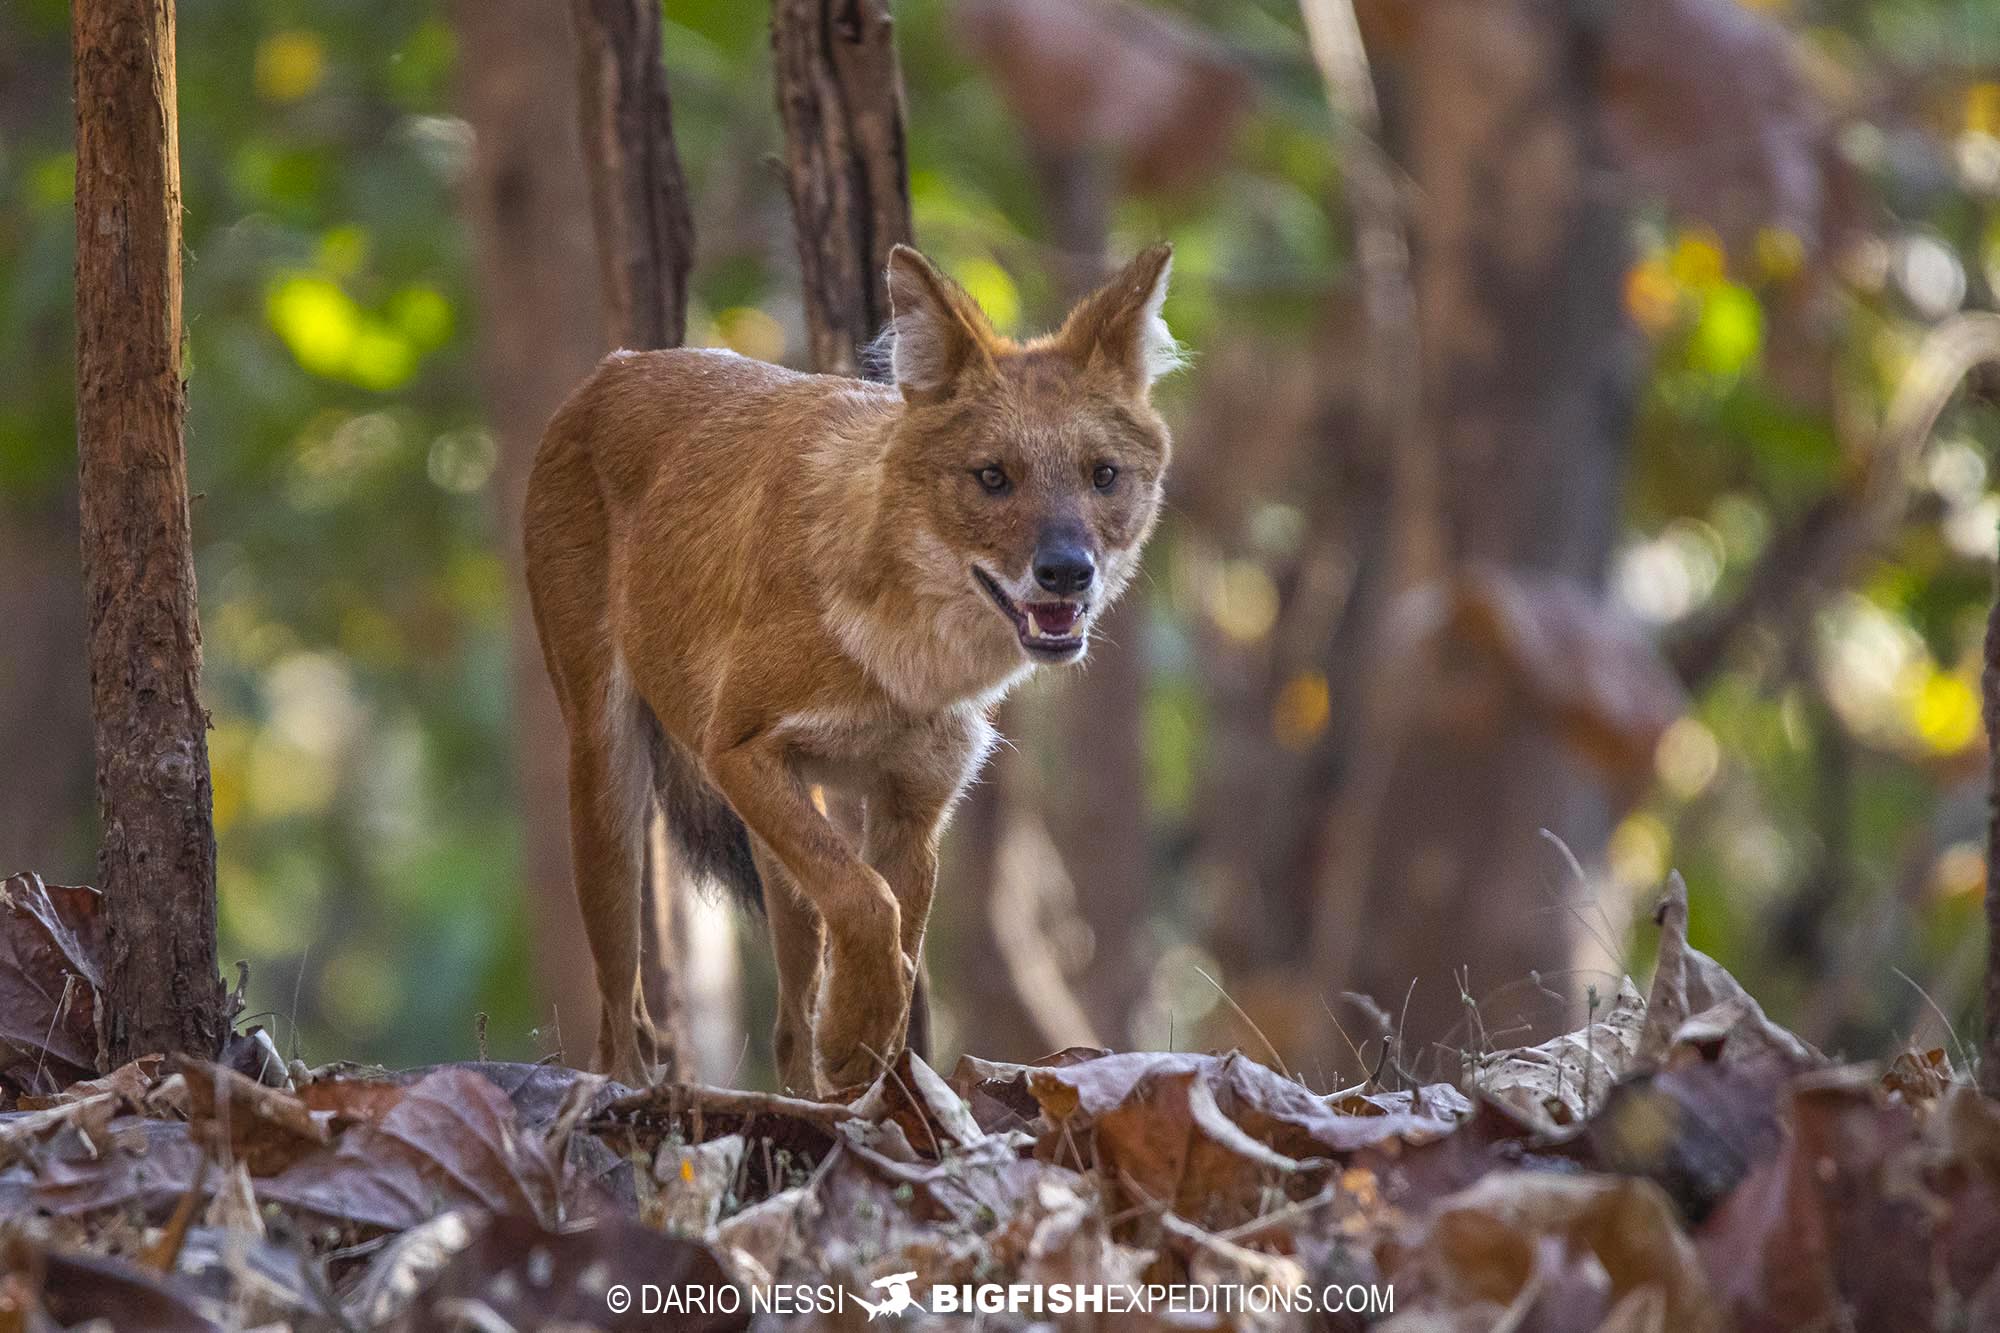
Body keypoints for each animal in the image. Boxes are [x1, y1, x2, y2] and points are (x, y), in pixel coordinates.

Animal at [532, 244, 1176, 1088]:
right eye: (992, 476)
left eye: (1103, 475)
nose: (1067, 572)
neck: (909, 665)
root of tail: (613, 367)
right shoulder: (735, 749)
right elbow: (868, 901)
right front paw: (858, 1027)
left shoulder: (915, 799)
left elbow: (894, 926)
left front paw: (873, 1046)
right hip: (608, 781)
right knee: (620, 1018)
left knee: (783, 1020)